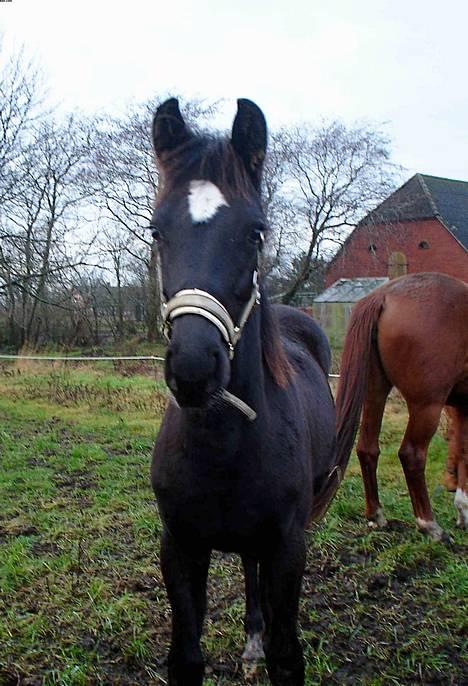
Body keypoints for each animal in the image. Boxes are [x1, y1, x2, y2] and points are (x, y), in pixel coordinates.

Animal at [336, 272, 468, 540]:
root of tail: (384, 294)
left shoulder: (461, 407)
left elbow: (460, 451)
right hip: (426, 406)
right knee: (411, 454)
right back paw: (429, 525)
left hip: (375, 392)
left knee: (367, 448)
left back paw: (376, 515)